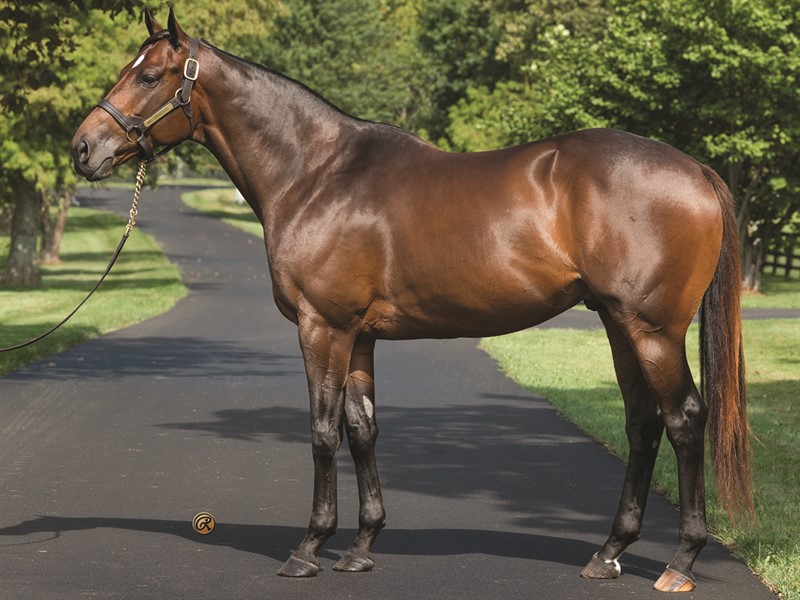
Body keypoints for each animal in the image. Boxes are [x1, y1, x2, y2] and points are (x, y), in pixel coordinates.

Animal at [71, 9, 752, 593]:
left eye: (149, 75)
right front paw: (360, 547)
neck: (316, 173)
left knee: (684, 419)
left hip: (653, 328)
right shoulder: (359, 335)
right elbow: (363, 428)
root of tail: (694, 169)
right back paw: (608, 554)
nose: (84, 148)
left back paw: (681, 562)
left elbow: (323, 431)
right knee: (643, 424)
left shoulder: (323, 327)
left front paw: (308, 549)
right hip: (617, 322)